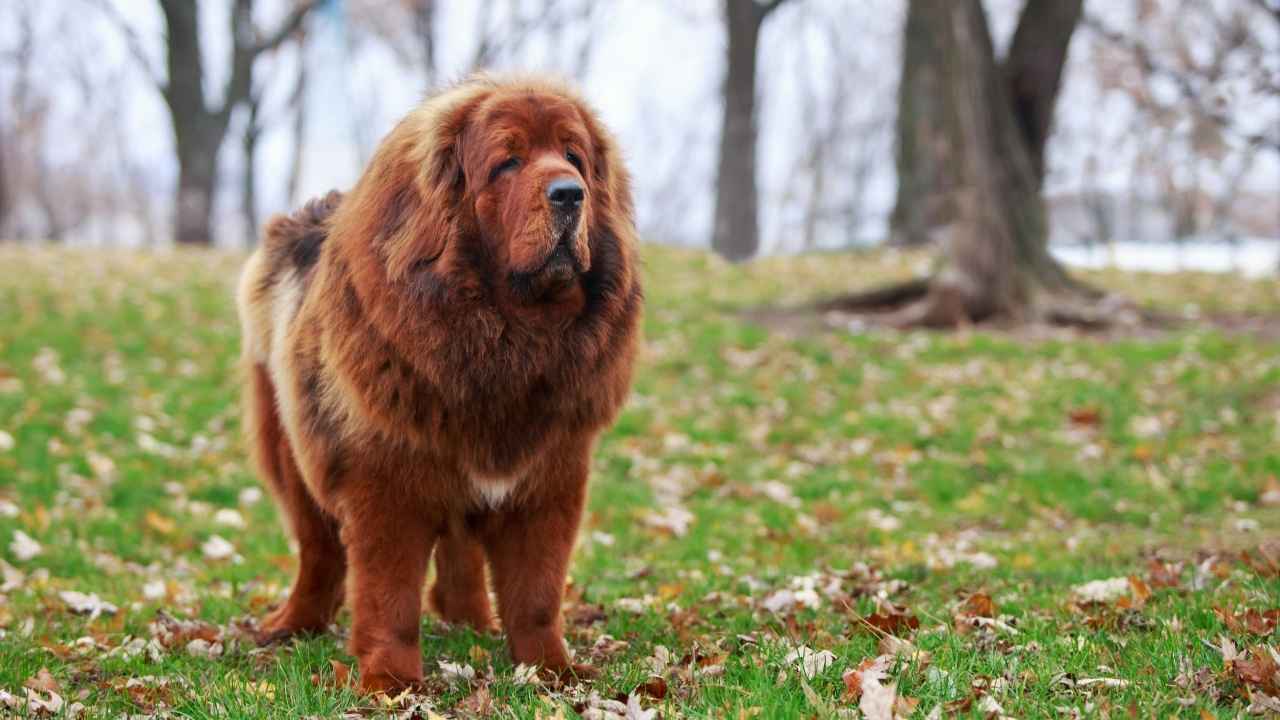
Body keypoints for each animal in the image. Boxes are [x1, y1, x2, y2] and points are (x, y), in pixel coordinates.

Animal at [235, 74, 640, 691]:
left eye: (573, 158)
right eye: (508, 161)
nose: (570, 194)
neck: (508, 341)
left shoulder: (550, 479)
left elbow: (537, 592)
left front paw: (551, 670)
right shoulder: (385, 483)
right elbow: (389, 596)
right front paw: (391, 680)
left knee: (459, 550)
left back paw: (469, 619)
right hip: (292, 450)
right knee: (318, 551)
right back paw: (292, 625)